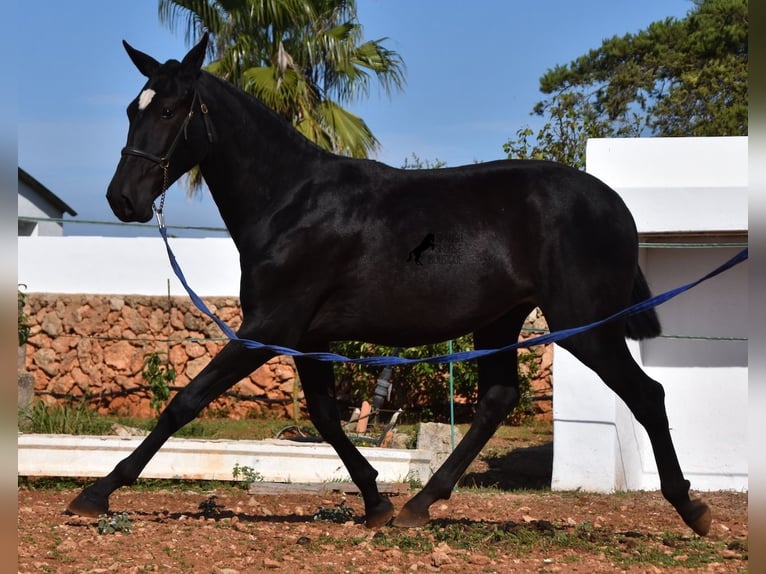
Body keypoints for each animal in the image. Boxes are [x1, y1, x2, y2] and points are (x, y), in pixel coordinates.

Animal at [67, 33, 712, 536]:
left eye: (172, 109)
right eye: (131, 109)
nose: (123, 199)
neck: (292, 202)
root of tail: (616, 206)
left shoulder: (268, 327)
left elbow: (186, 401)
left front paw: (96, 492)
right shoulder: (306, 336)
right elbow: (326, 416)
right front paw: (376, 501)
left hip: (583, 326)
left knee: (647, 394)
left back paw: (692, 509)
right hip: (501, 319)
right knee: (498, 400)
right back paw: (419, 505)